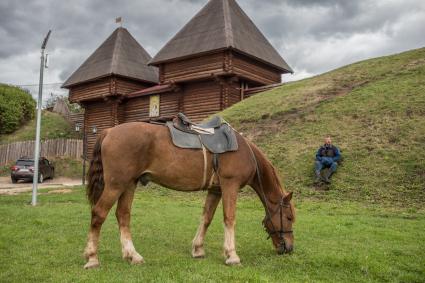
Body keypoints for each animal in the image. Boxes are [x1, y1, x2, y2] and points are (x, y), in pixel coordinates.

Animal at [83, 121, 294, 270]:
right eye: (290, 217)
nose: (289, 248)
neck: (243, 151)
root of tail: (109, 131)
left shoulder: (215, 190)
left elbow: (206, 218)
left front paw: (198, 249)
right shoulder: (230, 186)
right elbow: (229, 218)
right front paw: (232, 255)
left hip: (129, 184)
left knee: (123, 216)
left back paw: (132, 255)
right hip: (116, 185)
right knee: (99, 214)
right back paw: (92, 258)